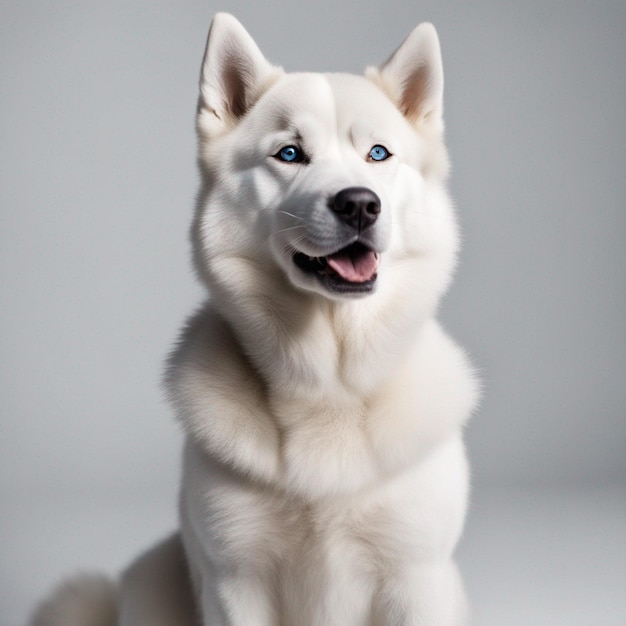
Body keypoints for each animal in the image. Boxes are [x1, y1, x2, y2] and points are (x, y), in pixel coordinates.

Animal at [33, 12, 478, 624]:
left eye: (378, 154)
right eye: (289, 154)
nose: (360, 204)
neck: (326, 386)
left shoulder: (416, 575)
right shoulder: (237, 578)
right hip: (151, 574)